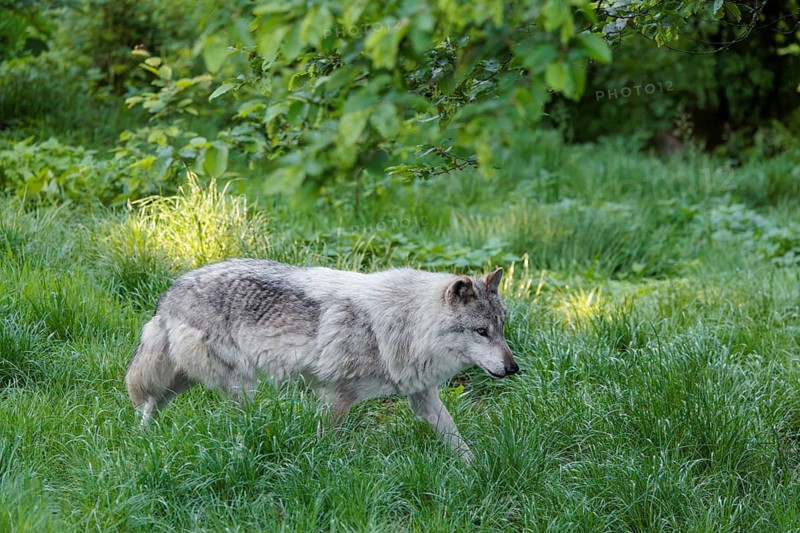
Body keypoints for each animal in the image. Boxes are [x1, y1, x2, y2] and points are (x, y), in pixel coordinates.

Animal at [125, 259, 518, 460]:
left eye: (501, 328)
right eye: (481, 331)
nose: (514, 368)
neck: (404, 324)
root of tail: (170, 292)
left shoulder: (421, 394)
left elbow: (455, 437)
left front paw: (475, 469)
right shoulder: (336, 396)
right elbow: (325, 442)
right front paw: (322, 469)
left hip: (181, 380)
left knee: (150, 405)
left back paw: (143, 441)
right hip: (241, 386)